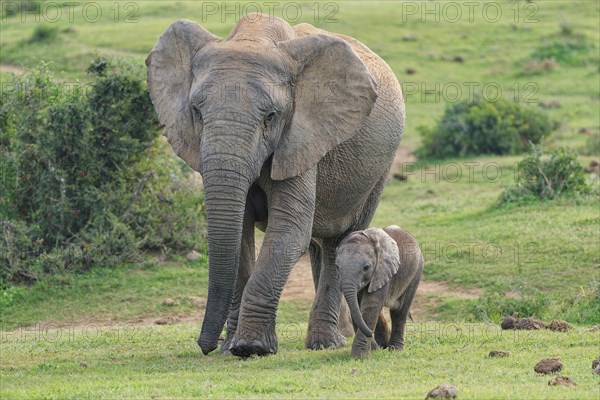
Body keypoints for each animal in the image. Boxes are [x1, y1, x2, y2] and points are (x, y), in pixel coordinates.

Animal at [147, 12, 406, 358]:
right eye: (197, 113)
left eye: (270, 117)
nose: (205, 346)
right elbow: (241, 235)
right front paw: (231, 347)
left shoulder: (300, 138)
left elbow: (288, 230)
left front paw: (251, 347)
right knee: (320, 245)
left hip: (379, 169)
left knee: (340, 240)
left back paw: (326, 343)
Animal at [336, 225, 424, 360]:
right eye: (337, 267)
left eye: (366, 268)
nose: (369, 333)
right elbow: (358, 306)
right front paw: (372, 349)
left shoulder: (383, 270)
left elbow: (371, 305)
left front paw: (360, 357)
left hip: (416, 272)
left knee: (400, 311)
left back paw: (395, 350)